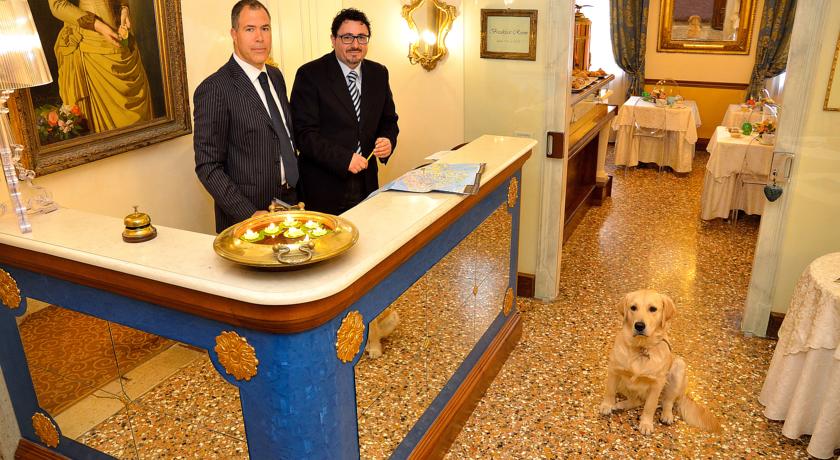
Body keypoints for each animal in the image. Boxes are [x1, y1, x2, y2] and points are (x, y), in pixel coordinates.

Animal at [598, 290, 720, 435]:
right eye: (633, 307)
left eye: (653, 309)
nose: (639, 325)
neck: (641, 348)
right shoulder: (614, 370)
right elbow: (610, 390)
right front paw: (607, 405)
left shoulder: (657, 384)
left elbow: (650, 406)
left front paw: (646, 424)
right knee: (636, 400)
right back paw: (620, 405)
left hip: (678, 368)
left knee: (667, 402)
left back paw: (667, 415)